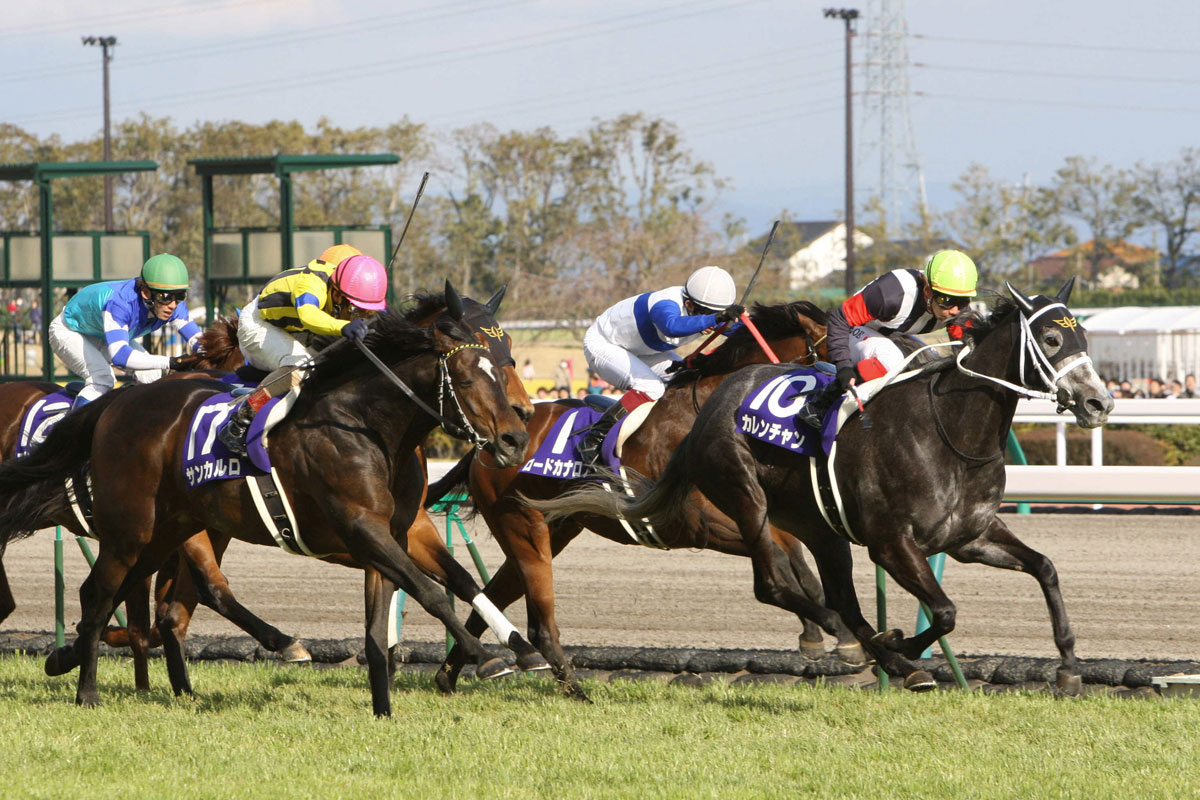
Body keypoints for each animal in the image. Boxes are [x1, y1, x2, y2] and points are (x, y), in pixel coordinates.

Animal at [0, 284, 535, 715]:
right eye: (467, 376)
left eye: (506, 357)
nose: (517, 435)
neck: (366, 423)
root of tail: (118, 402)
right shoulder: (361, 528)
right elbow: (428, 591)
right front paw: (490, 658)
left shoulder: (394, 533)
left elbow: (390, 623)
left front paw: (385, 710)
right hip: (134, 530)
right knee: (107, 593)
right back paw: (87, 691)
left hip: (164, 532)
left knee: (129, 599)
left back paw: (85, 667)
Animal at [430, 300, 862, 701]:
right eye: (841, 342)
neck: (706, 412)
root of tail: (485, 444)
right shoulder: (699, 525)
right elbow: (779, 558)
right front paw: (832, 632)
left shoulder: (751, 510)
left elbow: (794, 556)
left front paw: (829, 634)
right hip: (522, 529)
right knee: (536, 621)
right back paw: (571, 689)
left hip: (553, 530)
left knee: (490, 598)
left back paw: (456, 675)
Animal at [528, 280, 1113, 693]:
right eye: (1052, 338)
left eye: (1083, 336)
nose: (1099, 402)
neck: (950, 430)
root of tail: (716, 405)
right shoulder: (891, 542)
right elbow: (945, 611)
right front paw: (902, 645)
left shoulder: (969, 537)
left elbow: (1045, 568)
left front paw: (1068, 667)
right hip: (744, 497)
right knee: (776, 585)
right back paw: (869, 645)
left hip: (821, 528)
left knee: (836, 597)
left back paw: (870, 646)